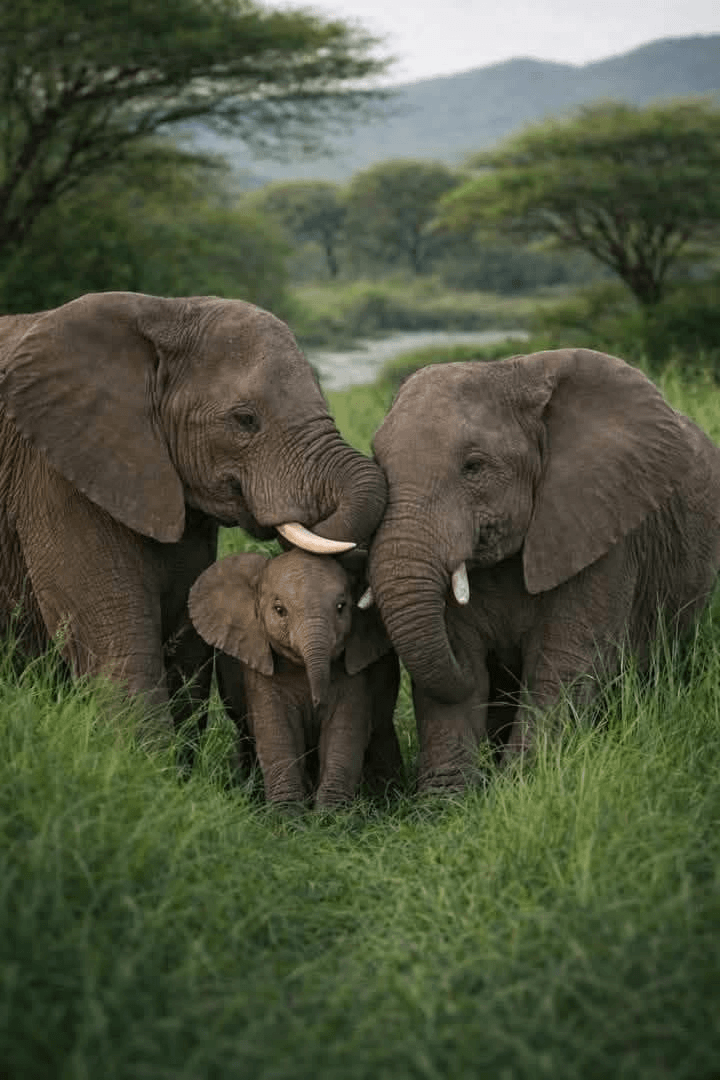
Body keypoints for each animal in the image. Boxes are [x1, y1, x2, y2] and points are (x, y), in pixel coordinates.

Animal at [0, 291, 387, 740]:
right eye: (245, 420)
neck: (165, 309)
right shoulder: (58, 474)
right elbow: (118, 645)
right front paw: (147, 758)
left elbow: (187, 644)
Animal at [188, 548, 403, 808]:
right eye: (280, 610)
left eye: (342, 607)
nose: (317, 702)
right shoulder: (262, 670)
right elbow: (277, 732)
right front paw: (287, 815)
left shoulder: (355, 670)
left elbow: (344, 732)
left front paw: (330, 815)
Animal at [367, 348, 720, 791]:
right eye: (377, 463)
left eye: (473, 466)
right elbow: (456, 670)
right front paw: (446, 800)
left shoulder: (601, 527)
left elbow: (562, 663)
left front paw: (522, 787)